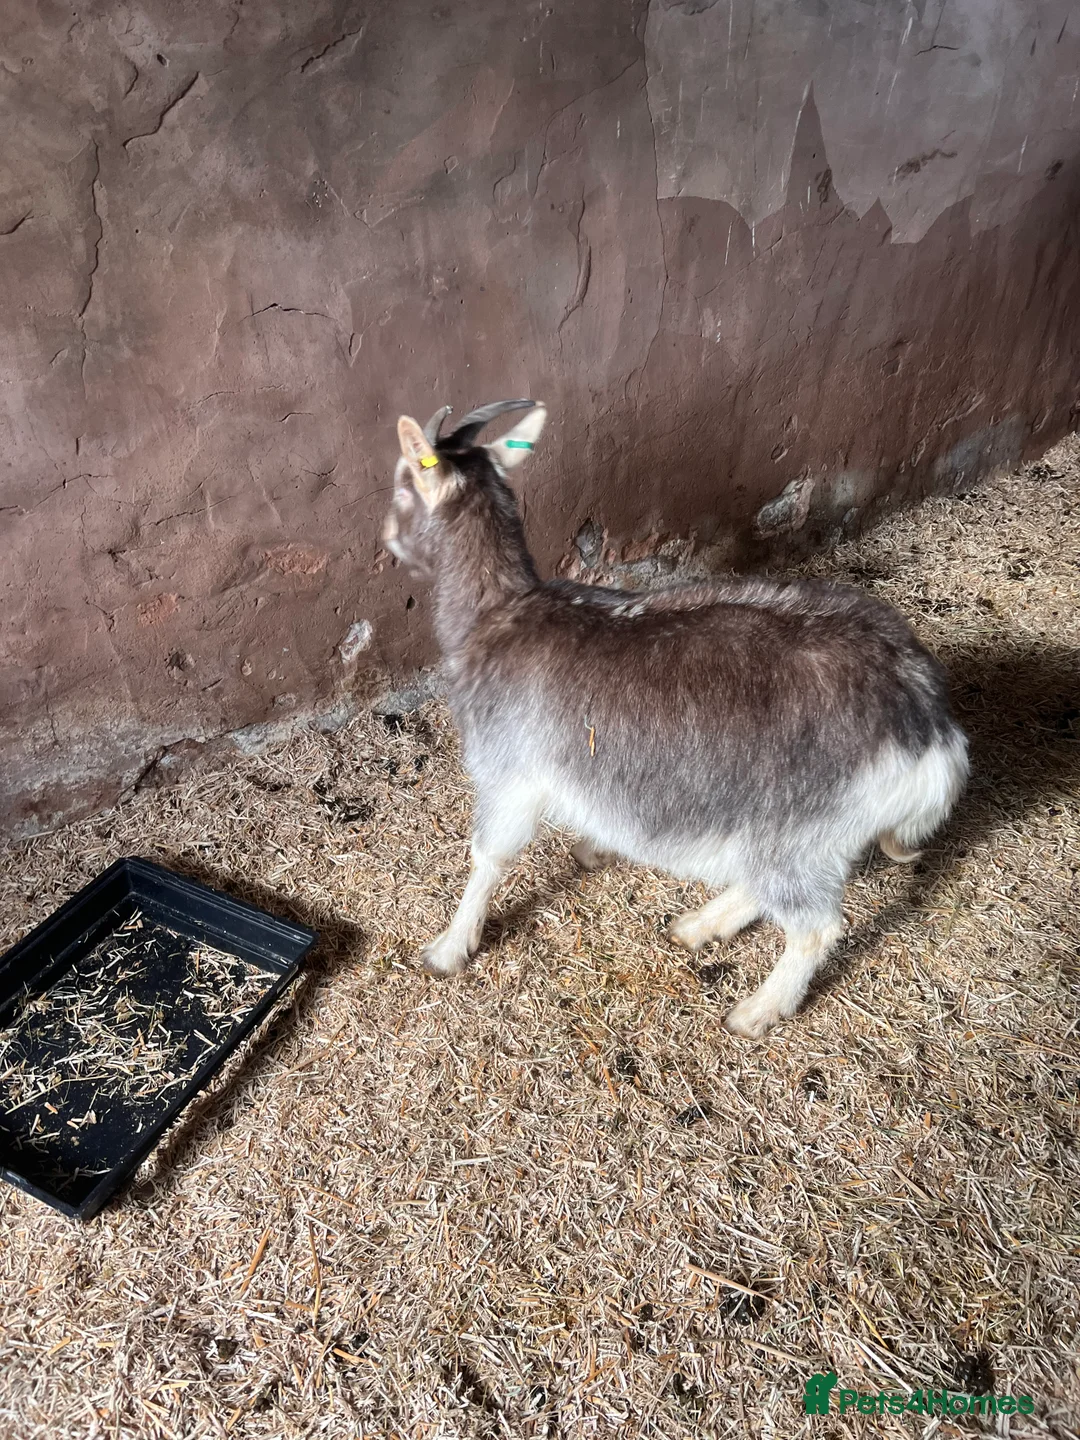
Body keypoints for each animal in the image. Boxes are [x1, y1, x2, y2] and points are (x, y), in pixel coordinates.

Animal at [383, 399, 969, 1037]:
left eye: (402, 482)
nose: (385, 539)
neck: (497, 616)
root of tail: (933, 732)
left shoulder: (508, 772)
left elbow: (490, 856)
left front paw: (448, 949)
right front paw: (593, 848)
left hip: (794, 828)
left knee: (814, 924)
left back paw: (755, 1011)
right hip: (809, 836)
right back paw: (698, 926)